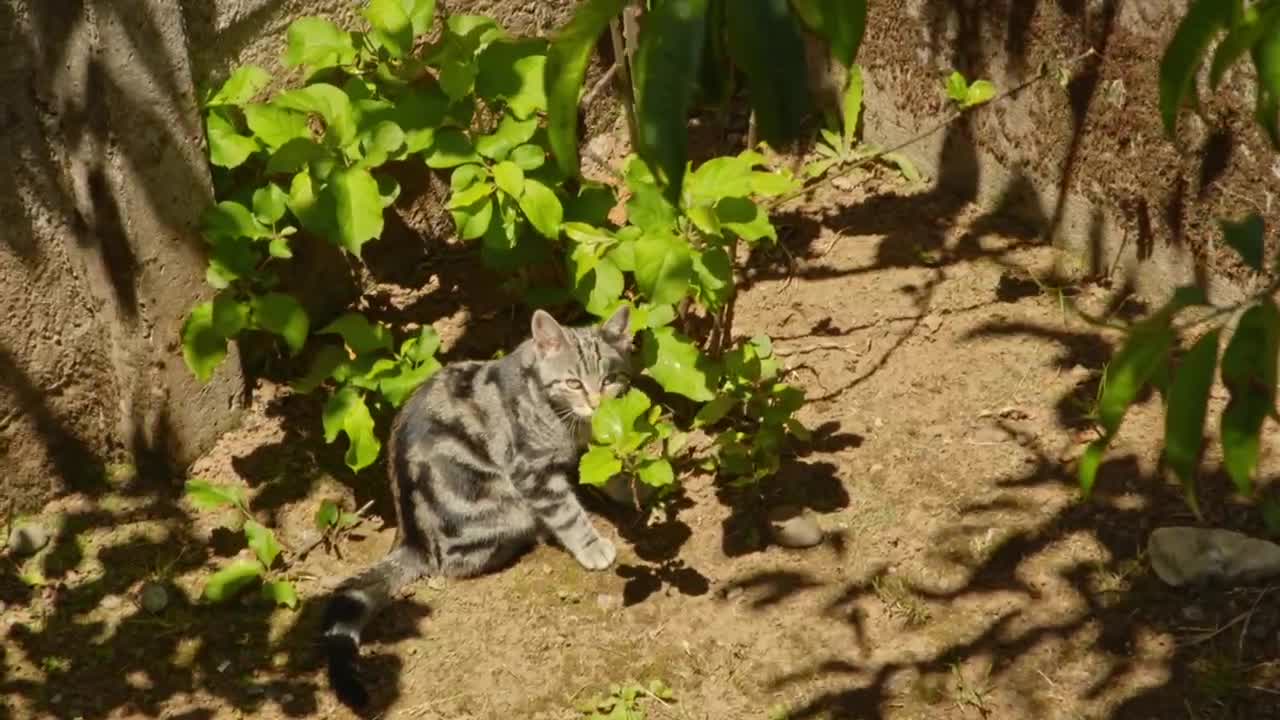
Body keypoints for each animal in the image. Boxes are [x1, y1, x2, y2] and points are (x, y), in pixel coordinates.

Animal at [317, 303, 632, 707]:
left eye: (609, 379)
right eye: (574, 383)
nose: (597, 403)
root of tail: (413, 540)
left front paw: (629, 488)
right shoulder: (532, 471)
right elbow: (567, 512)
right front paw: (592, 547)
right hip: (503, 508)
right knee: (463, 559)